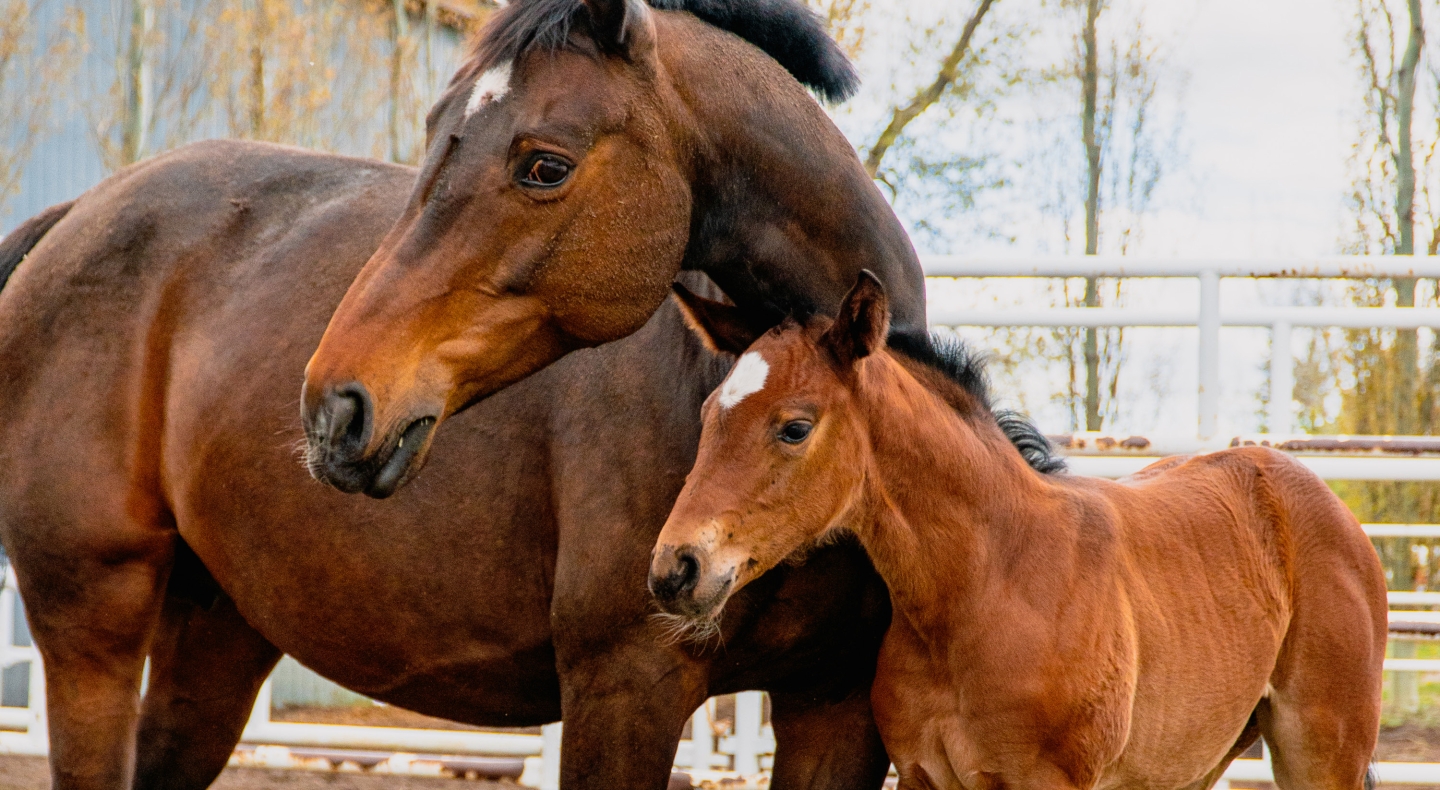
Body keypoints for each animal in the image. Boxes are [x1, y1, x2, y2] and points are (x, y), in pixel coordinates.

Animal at [650, 270, 1382, 788]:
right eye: (710, 414)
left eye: (795, 427)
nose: (674, 570)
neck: (986, 584)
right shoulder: (923, 776)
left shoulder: (1048, 781)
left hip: (1323, 750)